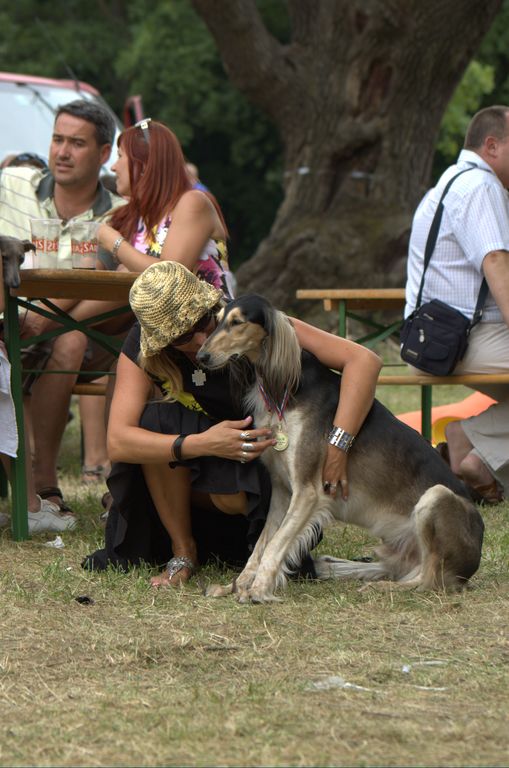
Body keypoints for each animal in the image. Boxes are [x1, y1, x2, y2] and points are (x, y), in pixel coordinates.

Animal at [195, 296, 484, 604]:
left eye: (237, 322)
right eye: (216, 321)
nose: (201, 357)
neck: (285, 387)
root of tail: (471, 564)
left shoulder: (308, 492)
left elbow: (275, 545)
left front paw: (259, 590)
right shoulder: (282, 491)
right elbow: (262, 544)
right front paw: (236, 585)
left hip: (436, 497)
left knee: (428, 581)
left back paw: (383, 587)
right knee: (395, 568)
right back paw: (334, 566)